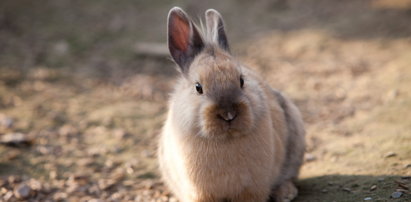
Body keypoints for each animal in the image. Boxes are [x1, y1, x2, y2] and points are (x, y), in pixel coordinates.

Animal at [158, 6, 306, 202]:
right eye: (198, 88)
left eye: (242, 80)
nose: (228, 114)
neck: (224, 138)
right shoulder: (200, 193)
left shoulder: (252, 189)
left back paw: (286, 193)